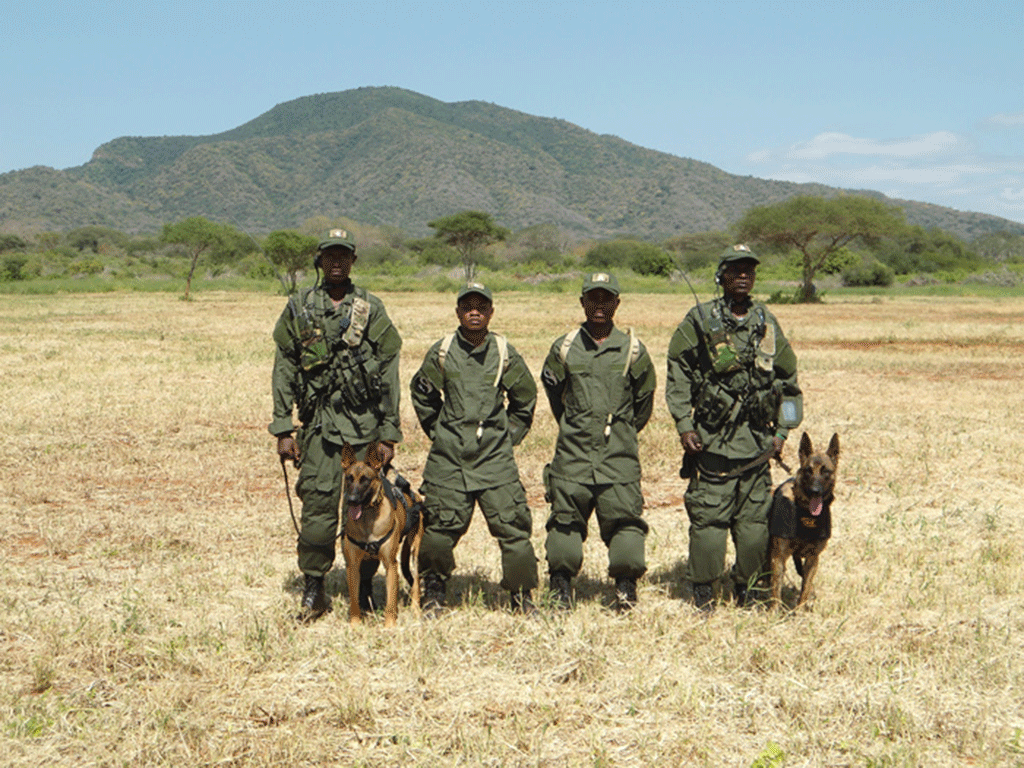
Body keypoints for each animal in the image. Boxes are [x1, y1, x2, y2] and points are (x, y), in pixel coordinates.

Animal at [339, 442, 423, 626]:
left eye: (365, 479)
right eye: (349, 478)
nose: (351, 500)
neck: (367, 519)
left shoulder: (391, 565)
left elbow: (391, 602)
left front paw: (389, 626)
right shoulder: (352, 566)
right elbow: (354, 601)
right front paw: (355, 625)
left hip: (415, 555)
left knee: (416, 584)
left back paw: (416, 610)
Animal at [770, 434, 839, 614]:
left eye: (826, 471)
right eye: (808, 470)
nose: (815, 491)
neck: (806, 513)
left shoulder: (813, 558)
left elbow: (805, 586)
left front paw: (800, 610)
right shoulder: (779, 556)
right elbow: (776, 587)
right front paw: (774, 611)